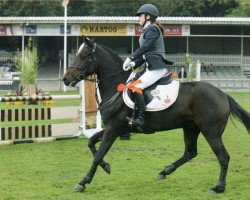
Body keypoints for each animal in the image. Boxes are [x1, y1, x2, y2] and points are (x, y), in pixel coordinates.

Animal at [62, 37, 250, 194]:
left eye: (84, 56)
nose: (65, 79)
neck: (116, 87)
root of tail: (223, 94)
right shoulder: (114, 127)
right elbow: (91, 143)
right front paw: (106, 167)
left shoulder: (114, 128)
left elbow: (98, 154)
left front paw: (83, 182)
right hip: (191, 128)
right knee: (190, 153)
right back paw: (164, 172)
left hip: (211, 132)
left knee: (223, 157)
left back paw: (218, 187)